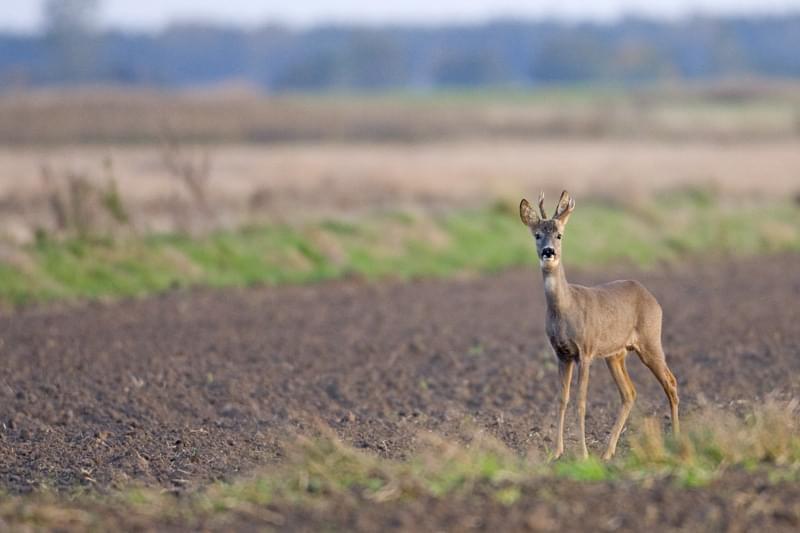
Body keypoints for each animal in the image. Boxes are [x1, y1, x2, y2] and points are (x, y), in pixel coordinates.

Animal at [520, 190, 680, 458]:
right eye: (537, 235)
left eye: (560, 234)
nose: (549, 252)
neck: (565, 309)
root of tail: (650, 296)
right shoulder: (562, 354)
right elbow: (562, 400)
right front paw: (557, 452)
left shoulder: (585, 351)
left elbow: (581, 402)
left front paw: (583, 454)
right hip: (616, 354)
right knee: (629, 393)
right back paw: (608, 452)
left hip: (650, 340)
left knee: (671, 382)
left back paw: (676, 439)